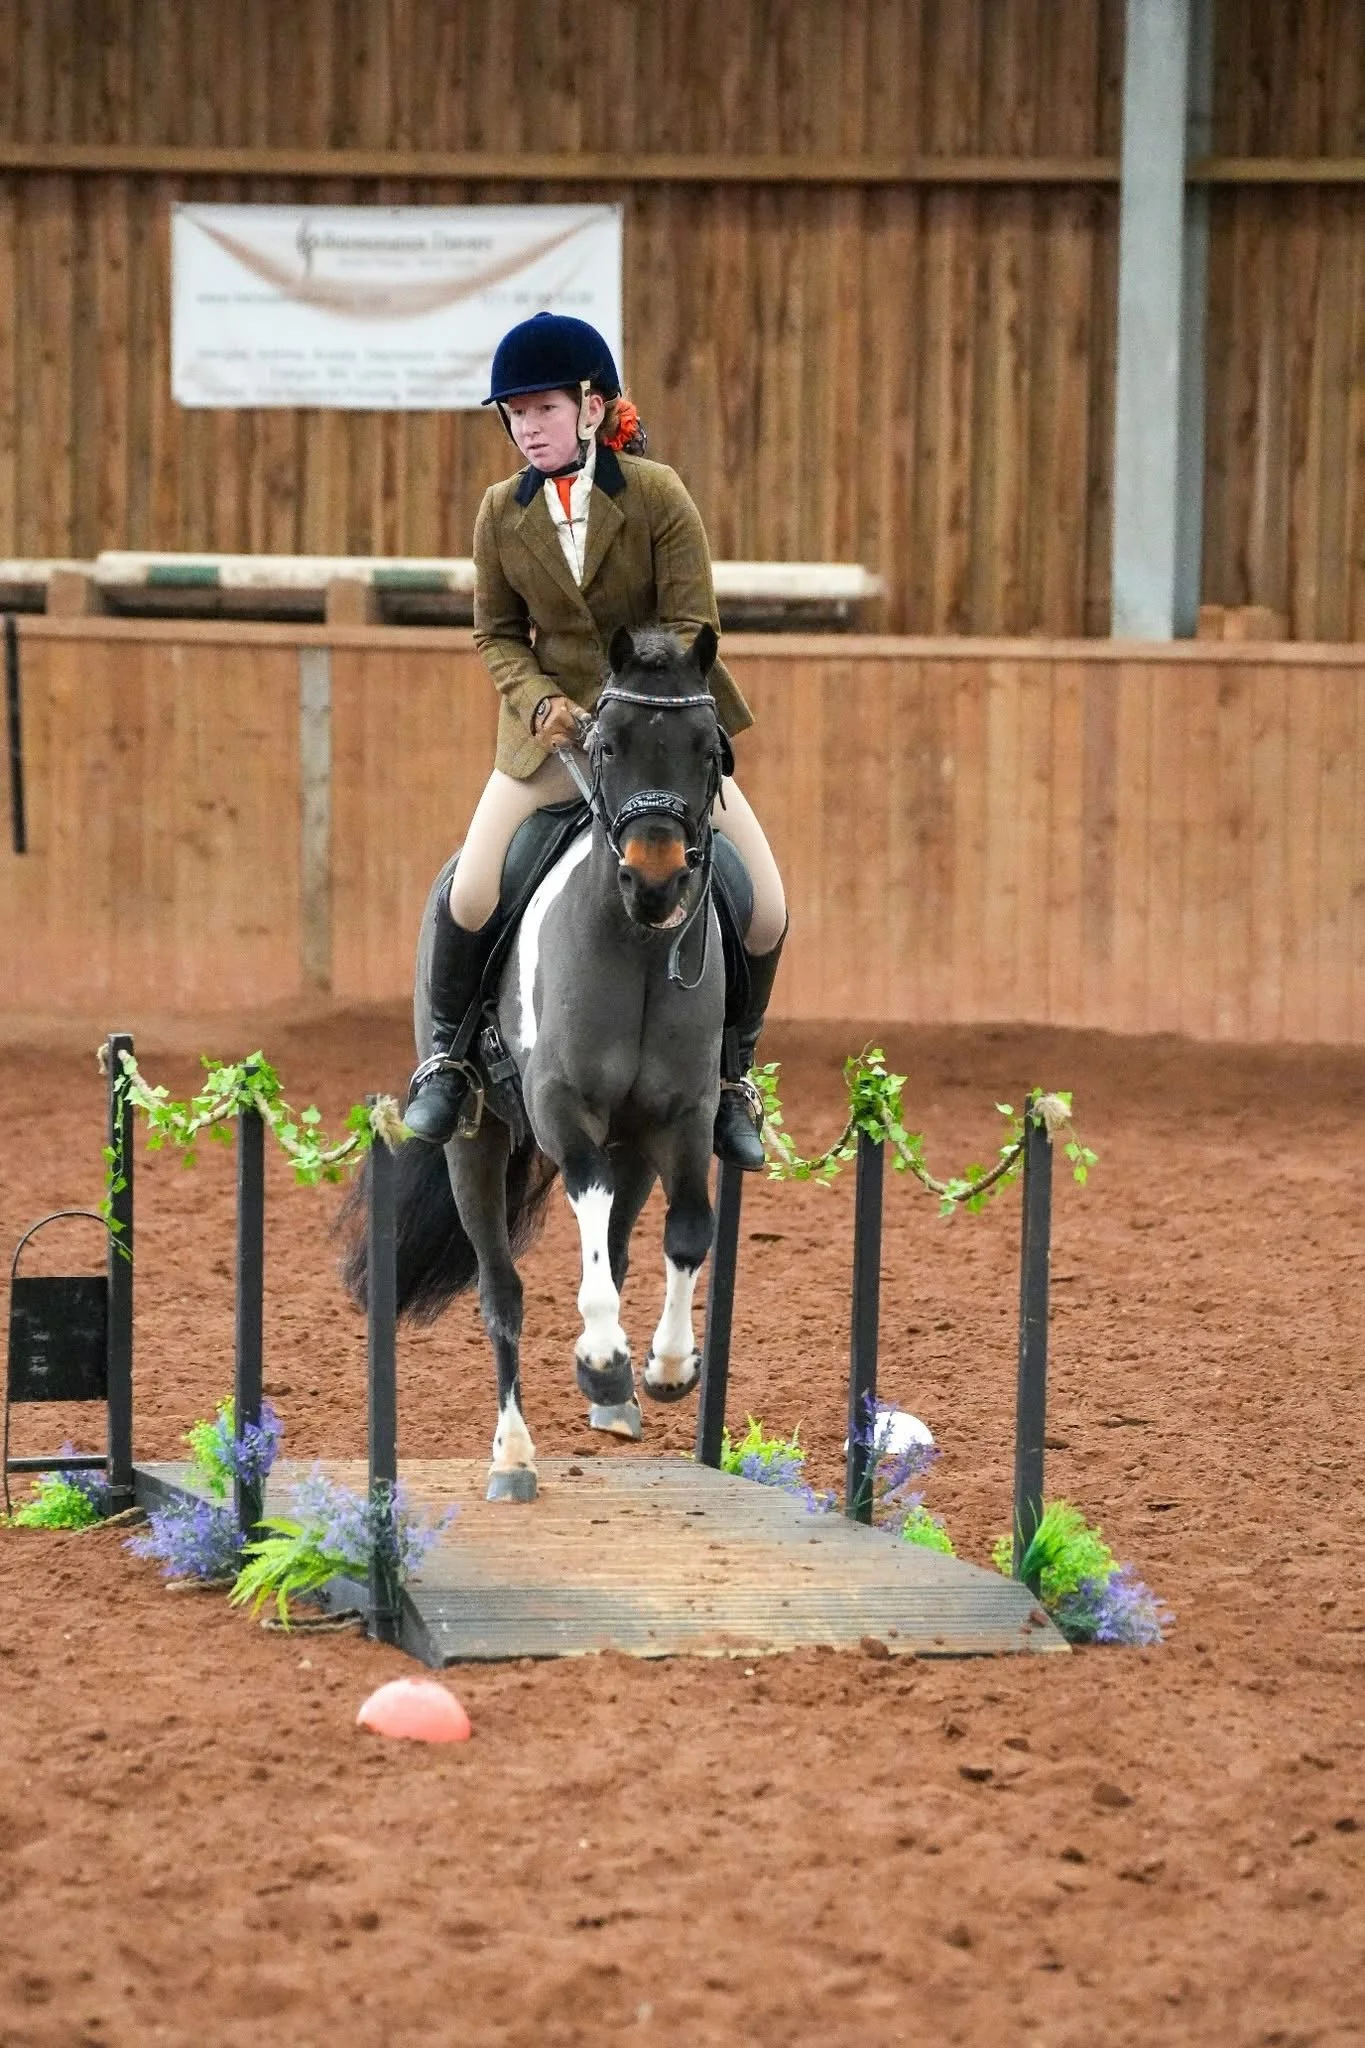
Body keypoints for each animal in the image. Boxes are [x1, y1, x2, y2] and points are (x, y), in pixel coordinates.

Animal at [340, 623, 737, 1501]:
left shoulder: (683, 1116)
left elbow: (689, 1231)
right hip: (476, 1141)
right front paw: (601, 1358)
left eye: (706, 749)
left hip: (632, 1147)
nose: (655, 882)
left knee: (617, 1245)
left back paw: (616, 1401)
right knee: (502, 1291)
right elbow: (580, 1202)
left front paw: (664, 1368)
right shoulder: (559, 1107)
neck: (635, 945)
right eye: (607, 743)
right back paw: (514, 1455)